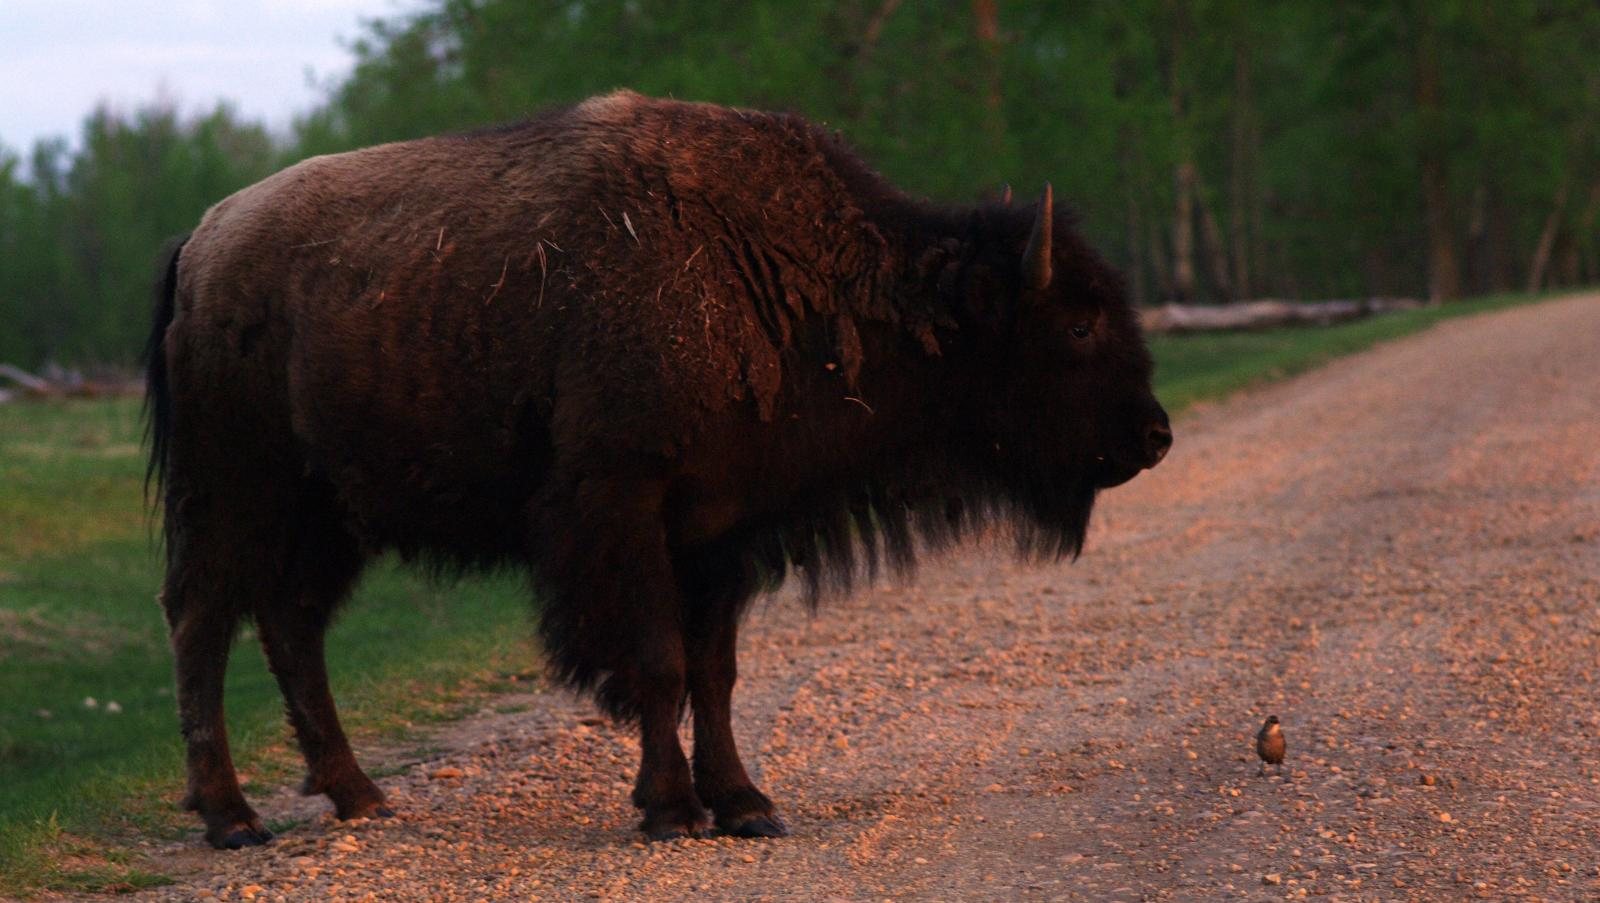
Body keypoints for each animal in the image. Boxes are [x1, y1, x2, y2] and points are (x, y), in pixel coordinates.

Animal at [145, 90, 1171, 848]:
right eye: (1080, 324)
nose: (1155, 435)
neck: (775, 269)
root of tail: (201, 245)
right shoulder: (625, 508)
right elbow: (658, 661)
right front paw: (671, 809)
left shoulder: (722, 530)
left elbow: (714, 670)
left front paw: (747, 804)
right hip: (234, 497)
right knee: (202, 621)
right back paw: (232, 818)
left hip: (328, 515)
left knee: (290, 624)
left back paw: (357, 794)